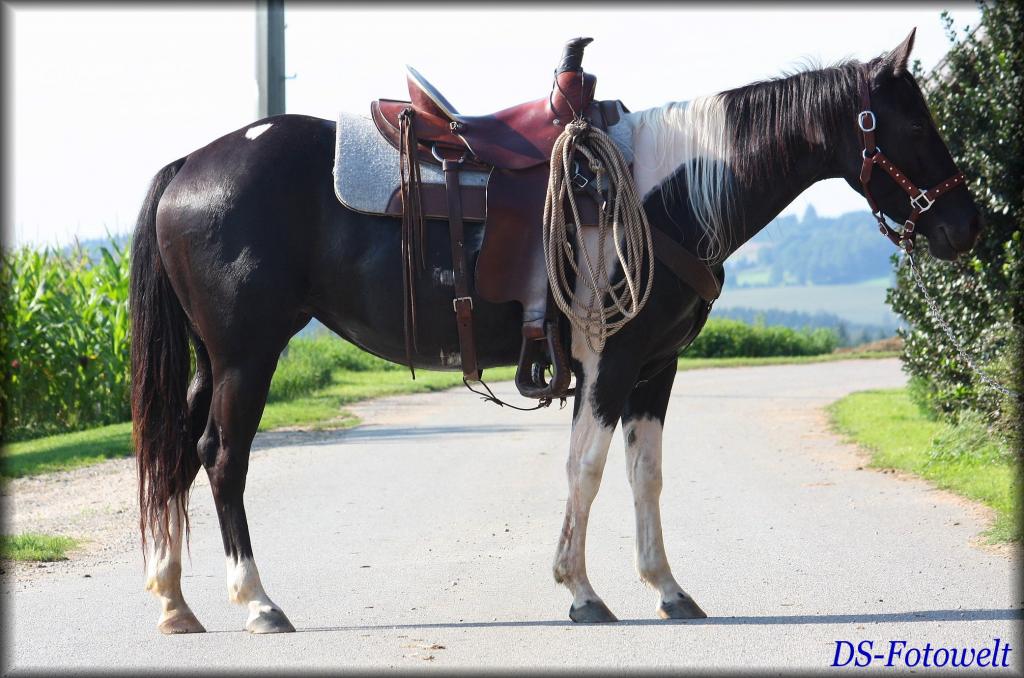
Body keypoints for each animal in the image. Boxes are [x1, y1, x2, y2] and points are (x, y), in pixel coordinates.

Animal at [131, 29, 981, 634]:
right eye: (911, 124)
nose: (966, 226)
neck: (666, 192)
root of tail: (189, 166)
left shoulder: (656, 370)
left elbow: (646, 475)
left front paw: (668, 589)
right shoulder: (611, 361)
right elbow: (588, 470)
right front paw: (581, 592)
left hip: (213, 358)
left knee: (178, 447)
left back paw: (175, 601)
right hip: (247, 354)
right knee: (222, 457)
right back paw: (257, 602)